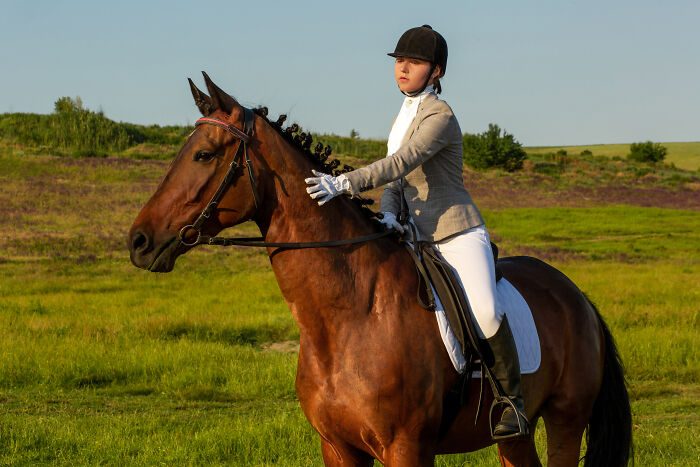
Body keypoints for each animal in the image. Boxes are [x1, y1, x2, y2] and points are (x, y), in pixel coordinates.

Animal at [128, 73, 632, 466]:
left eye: (204, 155)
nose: (138, 242)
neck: (348, 315)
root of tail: (576, 295)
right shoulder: (338, 448)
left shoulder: (406, 448)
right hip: (515, 439)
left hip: (566, 419)